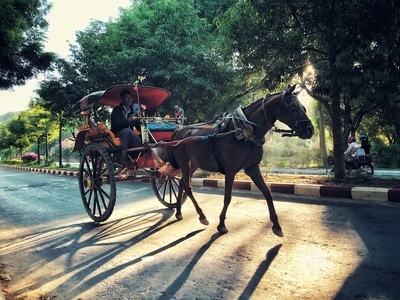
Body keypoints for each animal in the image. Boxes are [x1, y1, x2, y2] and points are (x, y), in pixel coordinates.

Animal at [159, 85, 312, 237]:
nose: (310, 130)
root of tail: (178, 131)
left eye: (304, 107)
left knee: (182, 183)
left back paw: (179, 212)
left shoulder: (252, 168)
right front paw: (221, 225)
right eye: (293, 106)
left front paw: (276, 225)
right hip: (184, 162)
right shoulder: (230, 170)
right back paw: (202, 216)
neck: (244, 130)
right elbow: (227, 197)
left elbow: (267, 193)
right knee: (188, 187)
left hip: (194, 163)